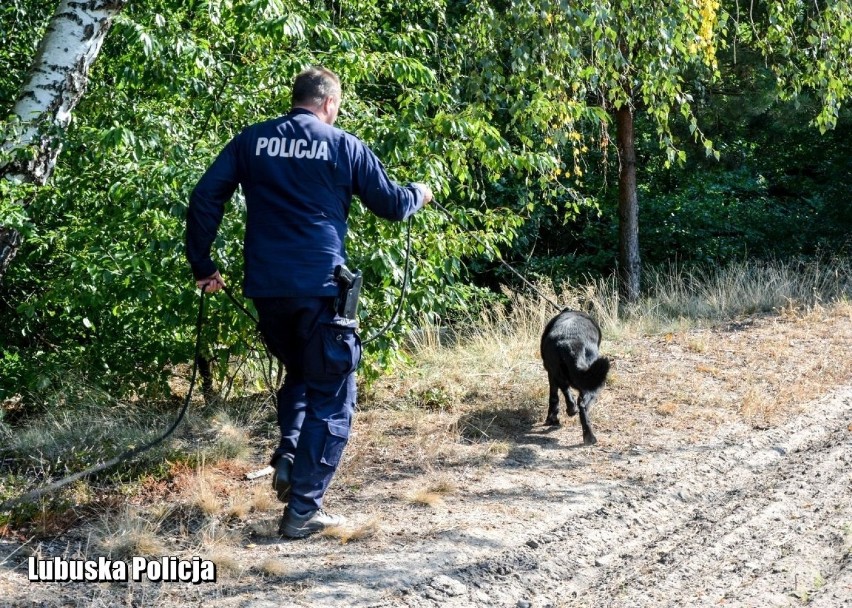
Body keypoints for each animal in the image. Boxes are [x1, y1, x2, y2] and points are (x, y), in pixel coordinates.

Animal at [544, 312, 608, 444]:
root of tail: (570, 345)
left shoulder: (551, 373)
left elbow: (554, 396)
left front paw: (552, 418)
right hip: (595, 383)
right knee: (581, 404)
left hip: (559, 372)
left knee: (567, 392)